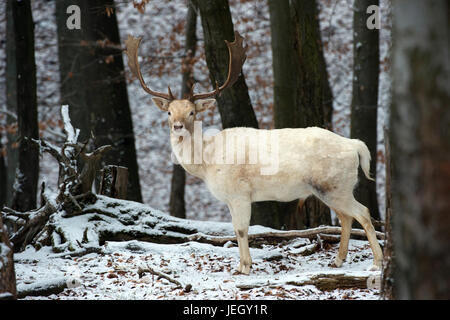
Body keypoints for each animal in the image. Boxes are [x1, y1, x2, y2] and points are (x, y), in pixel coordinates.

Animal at [125, 31, 382, 274]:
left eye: (191, 112)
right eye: (169, 112)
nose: (177, 126)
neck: (207, 163)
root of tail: (355, 145)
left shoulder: (240, 193)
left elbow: (241, 229)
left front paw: (246, 267)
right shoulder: (230, 198)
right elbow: (235, 229)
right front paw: (241, 265)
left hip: (335, 185)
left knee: (363, 212)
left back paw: (376, 263)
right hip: (331, 189)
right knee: (346, 217)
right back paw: (338, 260)